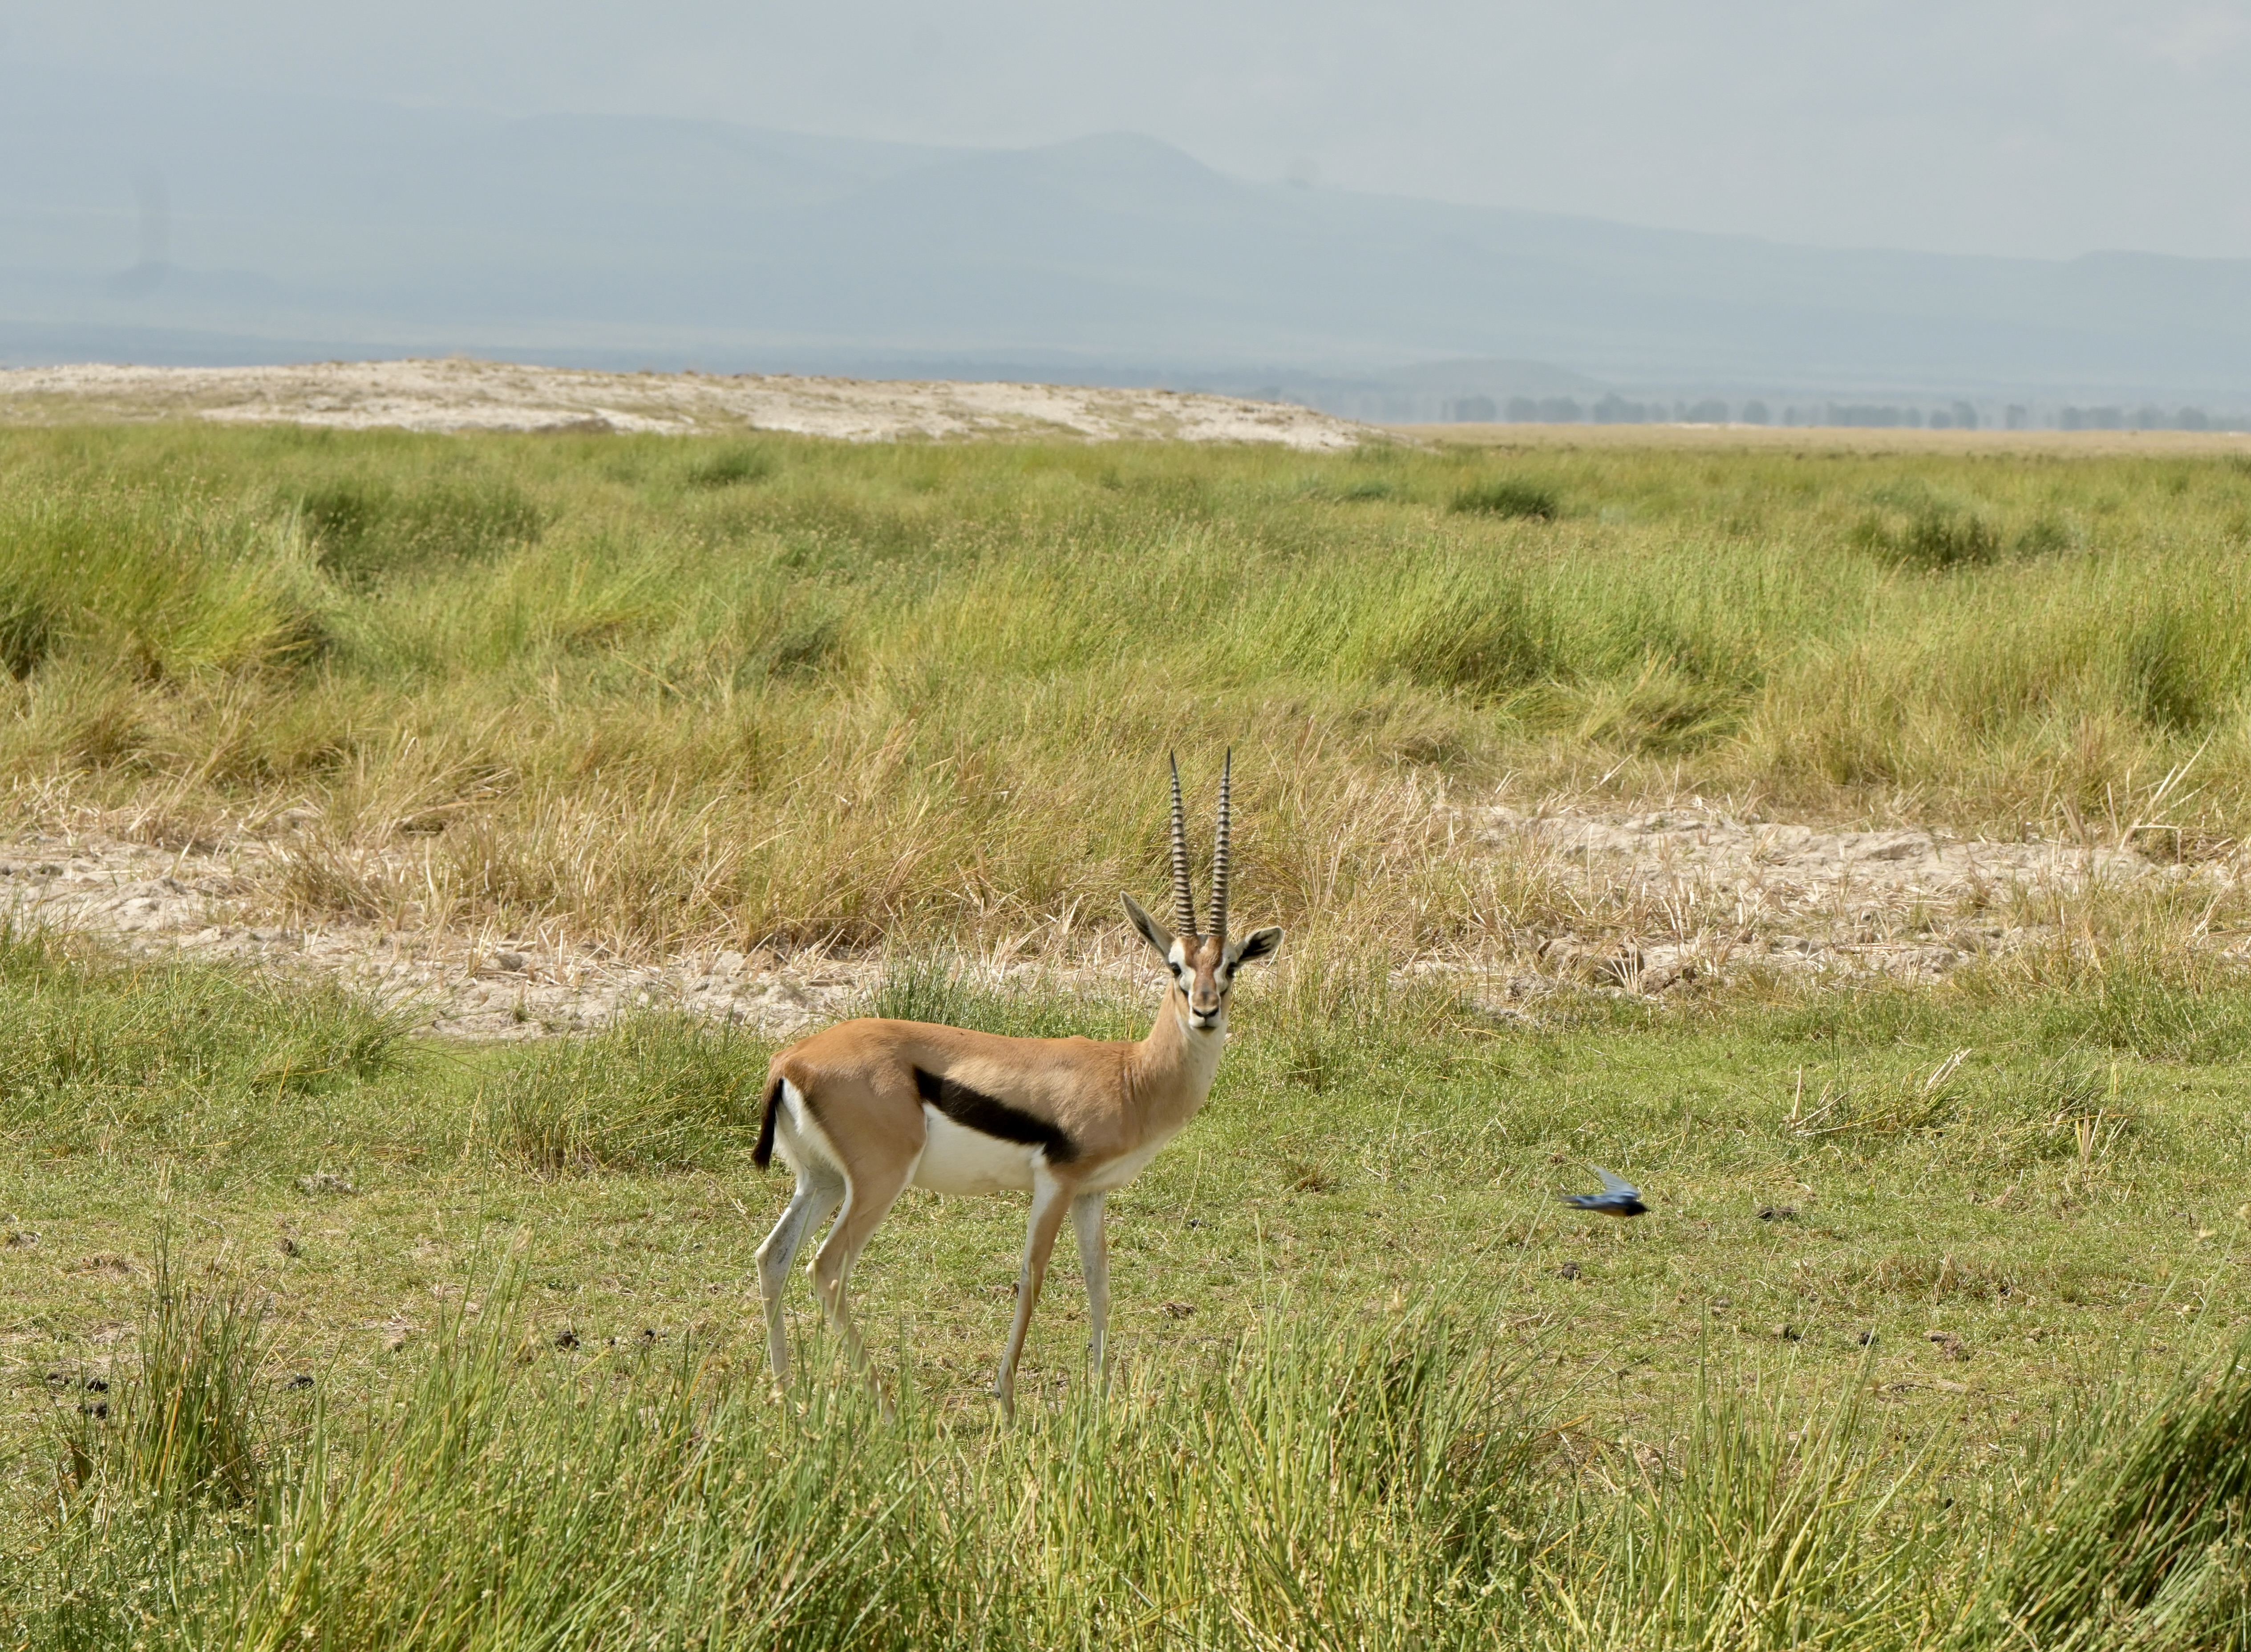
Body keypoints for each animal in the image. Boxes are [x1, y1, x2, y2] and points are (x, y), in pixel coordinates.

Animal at [750, 753, 1281, 1414]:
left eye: (1230, 966)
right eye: (1175, 966)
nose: (1204, 1011)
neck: (1132, 1075)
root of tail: (792, 1057)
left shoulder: (1091, 1194)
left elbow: (1099, 1282)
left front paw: (1100, 1394)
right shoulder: (1055, 1183)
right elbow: (1033, 1278)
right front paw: (1005, 1399)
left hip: (821, 1180)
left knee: (773, 1257)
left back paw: (784, 1393)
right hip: (877, 1183)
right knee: (825, 1268)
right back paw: (887, 1404)